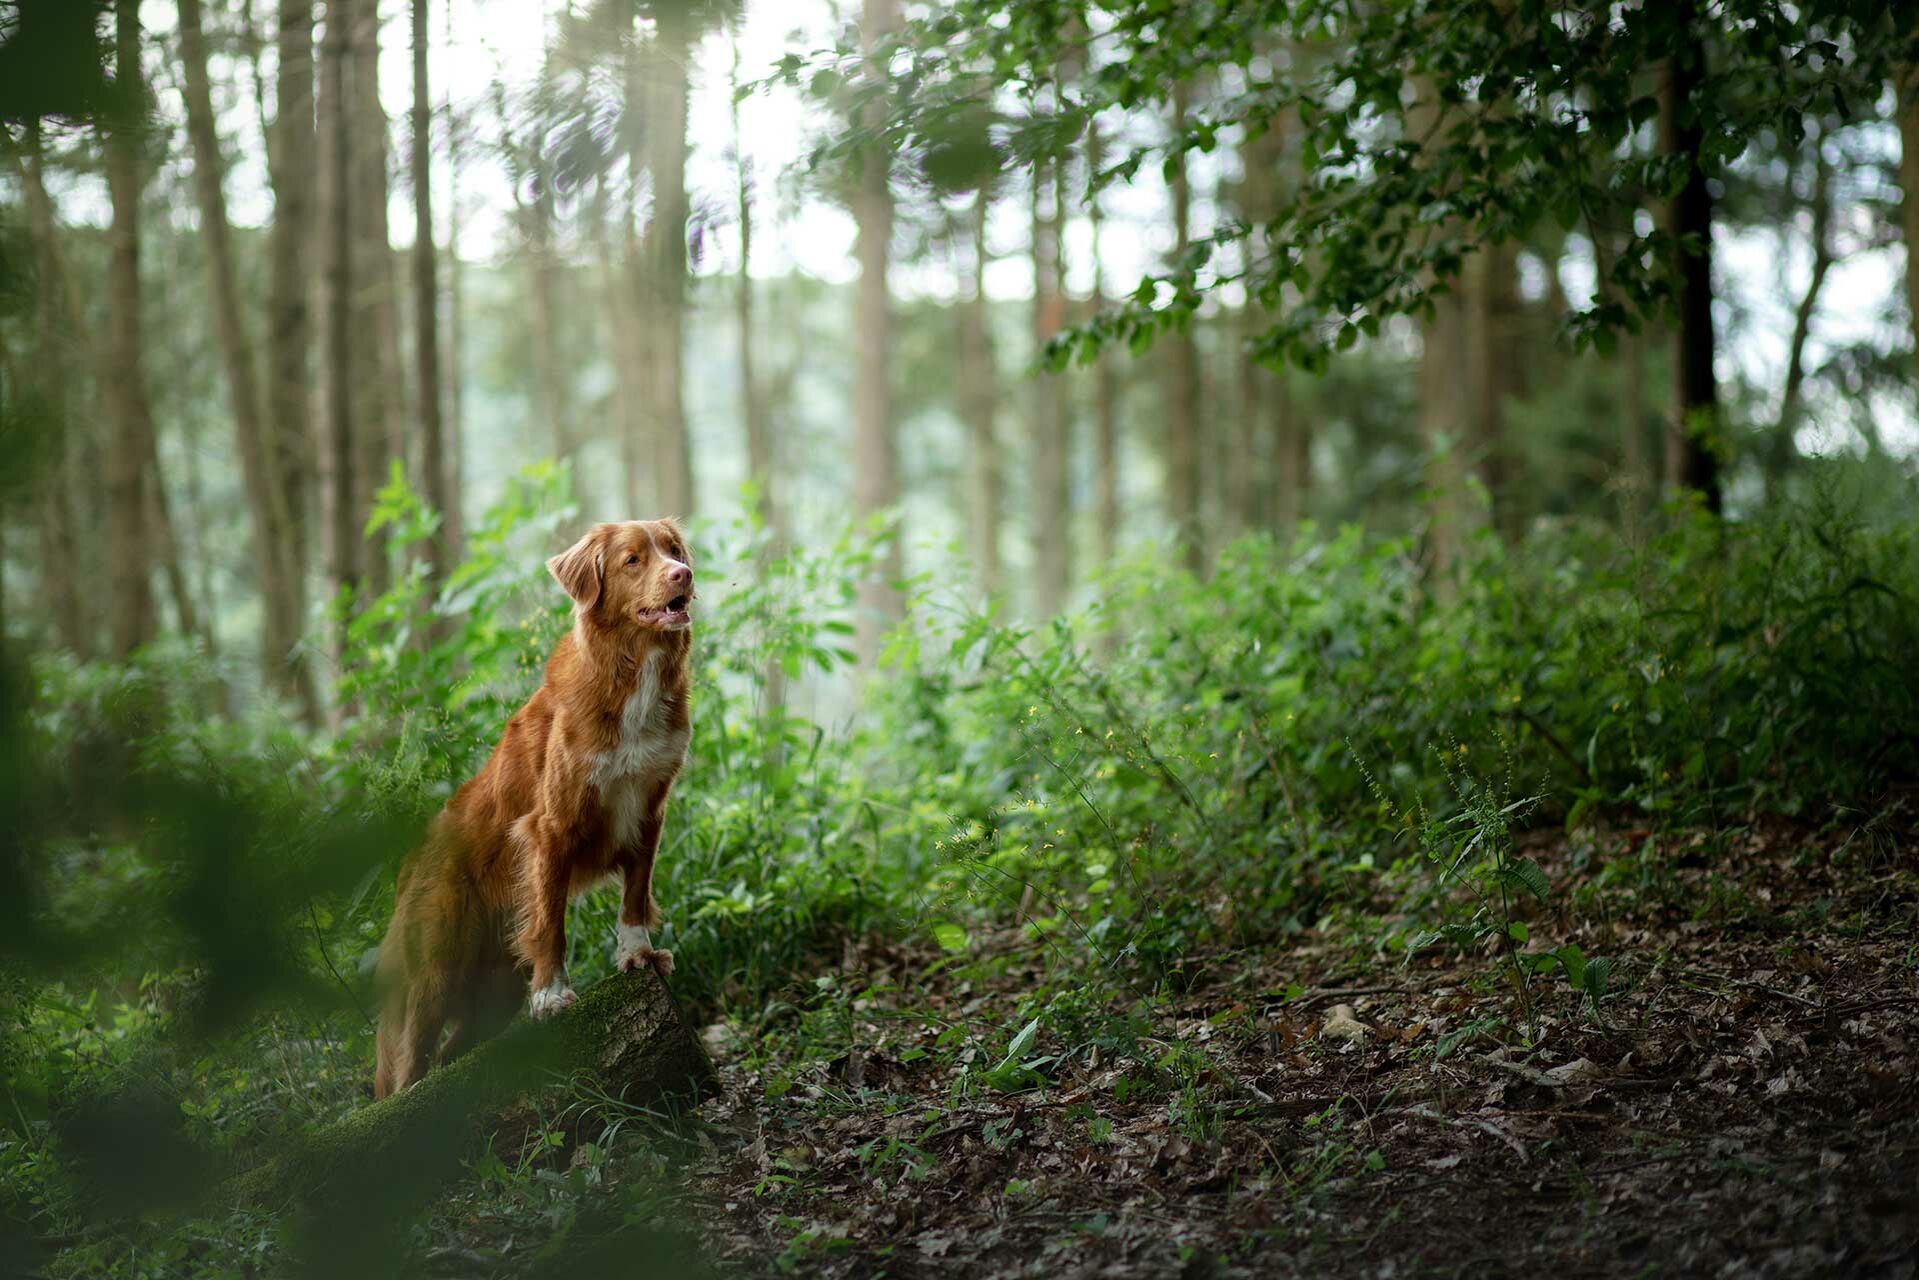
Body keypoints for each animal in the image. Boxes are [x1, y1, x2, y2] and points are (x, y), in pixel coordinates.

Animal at [374, 521, 698, 1105]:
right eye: (633, 560)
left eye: (674, 551)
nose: (682, 575)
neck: (631, 672)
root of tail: (408, 865)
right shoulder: (551, 827)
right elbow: (551, 923)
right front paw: (551, 995)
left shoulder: (649, 810)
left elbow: (634, 896)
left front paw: (637, 954)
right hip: (434, 968)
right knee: (410, 1064)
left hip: (494, 991)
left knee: (452, 1054)